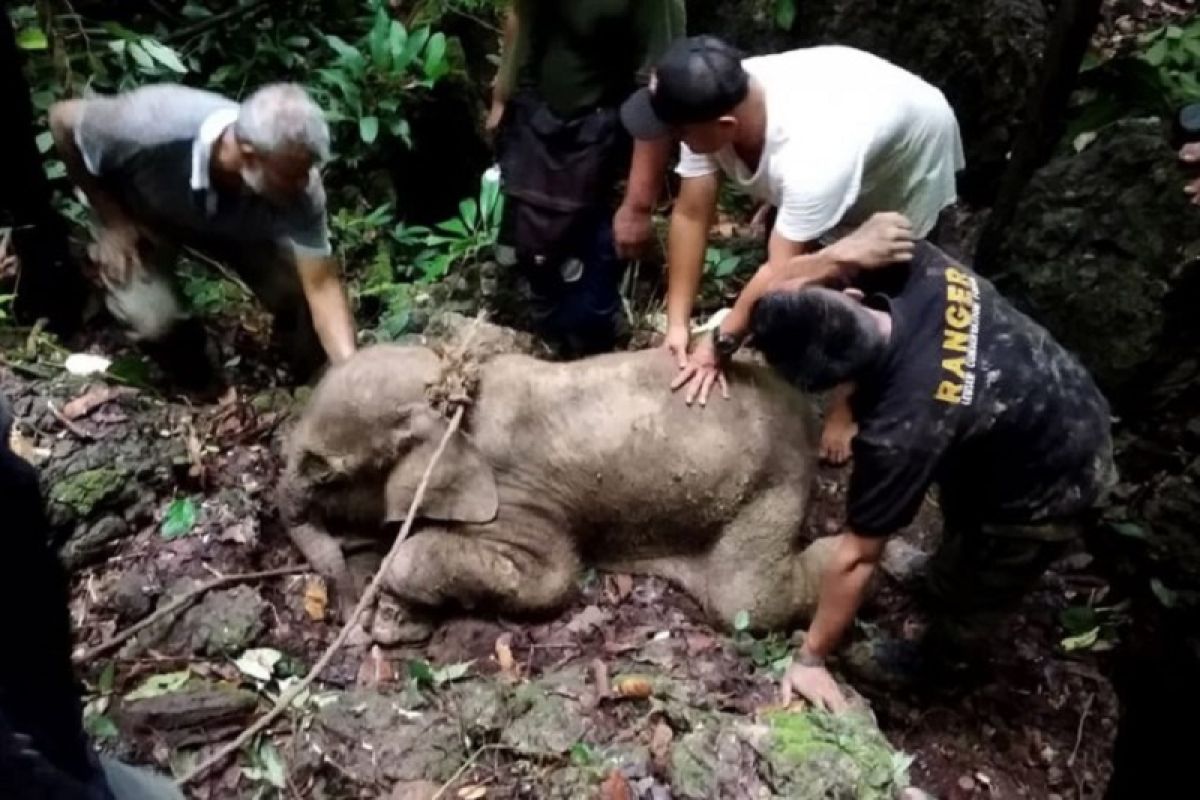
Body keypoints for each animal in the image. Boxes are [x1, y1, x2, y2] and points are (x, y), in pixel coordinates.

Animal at [279, 340, 835, 642]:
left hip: (772, 484)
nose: (351, 619)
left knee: (745, 599)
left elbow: (553, 578)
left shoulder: (518, 496)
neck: (453, 392)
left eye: (327, 475)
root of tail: (804, 410)